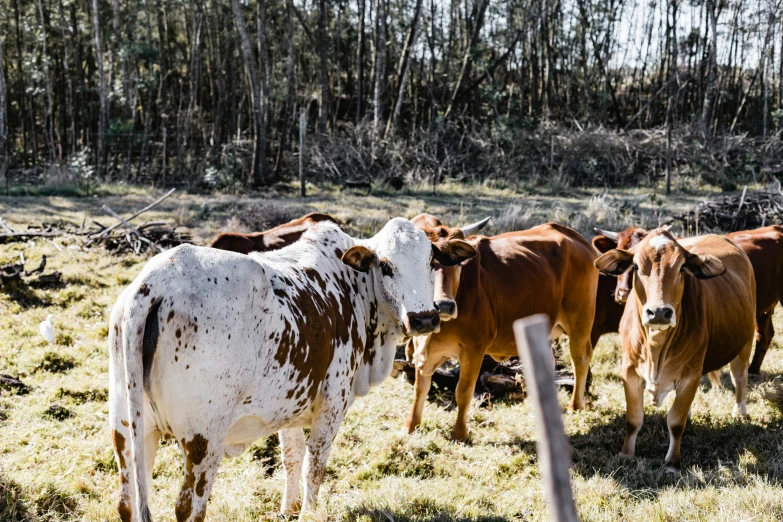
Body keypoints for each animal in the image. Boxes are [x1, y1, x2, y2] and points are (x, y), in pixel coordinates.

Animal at [408, 212, 596, 438]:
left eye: (458, 264)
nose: (444, 305)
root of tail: (576, 237)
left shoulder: (474, 348)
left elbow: (463, 390)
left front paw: (459, 433)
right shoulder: (423, 351)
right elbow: (420, 388)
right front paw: (411, 426)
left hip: (580, 320)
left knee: (580, 359)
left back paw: (575, 405)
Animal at [596, 230, 756, 470]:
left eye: (681, 268)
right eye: (635, 266)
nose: (659, 312)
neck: (656, 347)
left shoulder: (691, 374)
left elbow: (675, 422)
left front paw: (672, 462)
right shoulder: (629, 370)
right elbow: (633, 419)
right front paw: (626, 454)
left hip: (745, 342)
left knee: (740, 379)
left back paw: (740, 412)